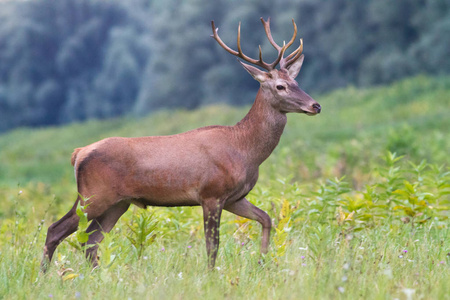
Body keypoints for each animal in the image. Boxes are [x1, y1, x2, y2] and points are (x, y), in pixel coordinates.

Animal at [39, 17, 320, 274]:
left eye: (297, 83)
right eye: (280, 86)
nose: (315, 105)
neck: (246, 152)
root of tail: (78, 154)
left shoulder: (234, 197)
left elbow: (266, 218)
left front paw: (262, 262)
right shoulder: (211, 192)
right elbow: (212, 245)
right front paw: (210, 276)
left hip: (118, 202)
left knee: (91, 241)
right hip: (93, 195)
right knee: (56, 230)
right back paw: (43, 275)